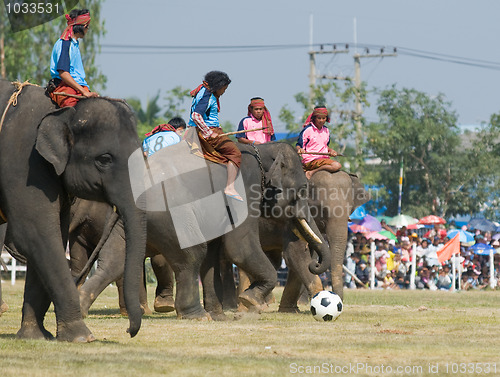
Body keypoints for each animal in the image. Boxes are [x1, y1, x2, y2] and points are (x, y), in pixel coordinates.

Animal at [0, 81, 146, 342]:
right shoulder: (24, 165)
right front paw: (82, 336)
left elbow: (55, 234)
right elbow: (36, 234)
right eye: (105, 159)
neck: (61, 111)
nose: (129, 330)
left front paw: (35, 336)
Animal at [63, 141, 332, 320]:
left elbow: (215, 253)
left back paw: (81, 307)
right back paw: (195, 315)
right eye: (302, 190)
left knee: (115, 260)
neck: (261, 148)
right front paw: (249, 300)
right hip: (168, 215)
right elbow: (238, 246)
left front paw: (221, 316)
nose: (315, 262)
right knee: (191, 254)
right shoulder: (243, 189)